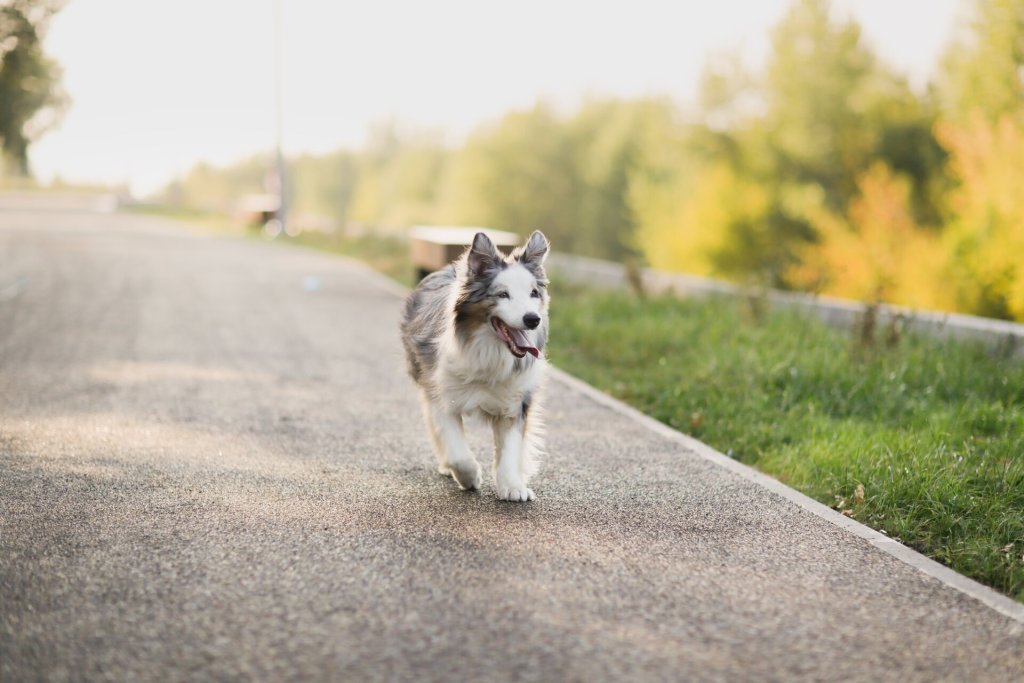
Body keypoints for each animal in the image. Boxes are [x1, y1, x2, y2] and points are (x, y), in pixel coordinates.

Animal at [397, 232, 548, 499]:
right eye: (502, 294)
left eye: (533, 293)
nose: (533, 319)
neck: (490, 352)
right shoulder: (442, 395)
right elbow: (458, 451)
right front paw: (469, 477)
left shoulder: (515, 400)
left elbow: (510, 448)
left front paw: (513, 486)